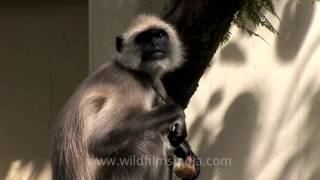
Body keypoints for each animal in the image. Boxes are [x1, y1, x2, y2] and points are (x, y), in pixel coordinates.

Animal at [51, 14, 199, 180]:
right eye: (143, 38)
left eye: (160, 35)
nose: (155, 43)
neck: (133, 70)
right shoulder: (131, 86)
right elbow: (101, 137)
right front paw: (178, 114)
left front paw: (184, 148)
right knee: (150, 139)